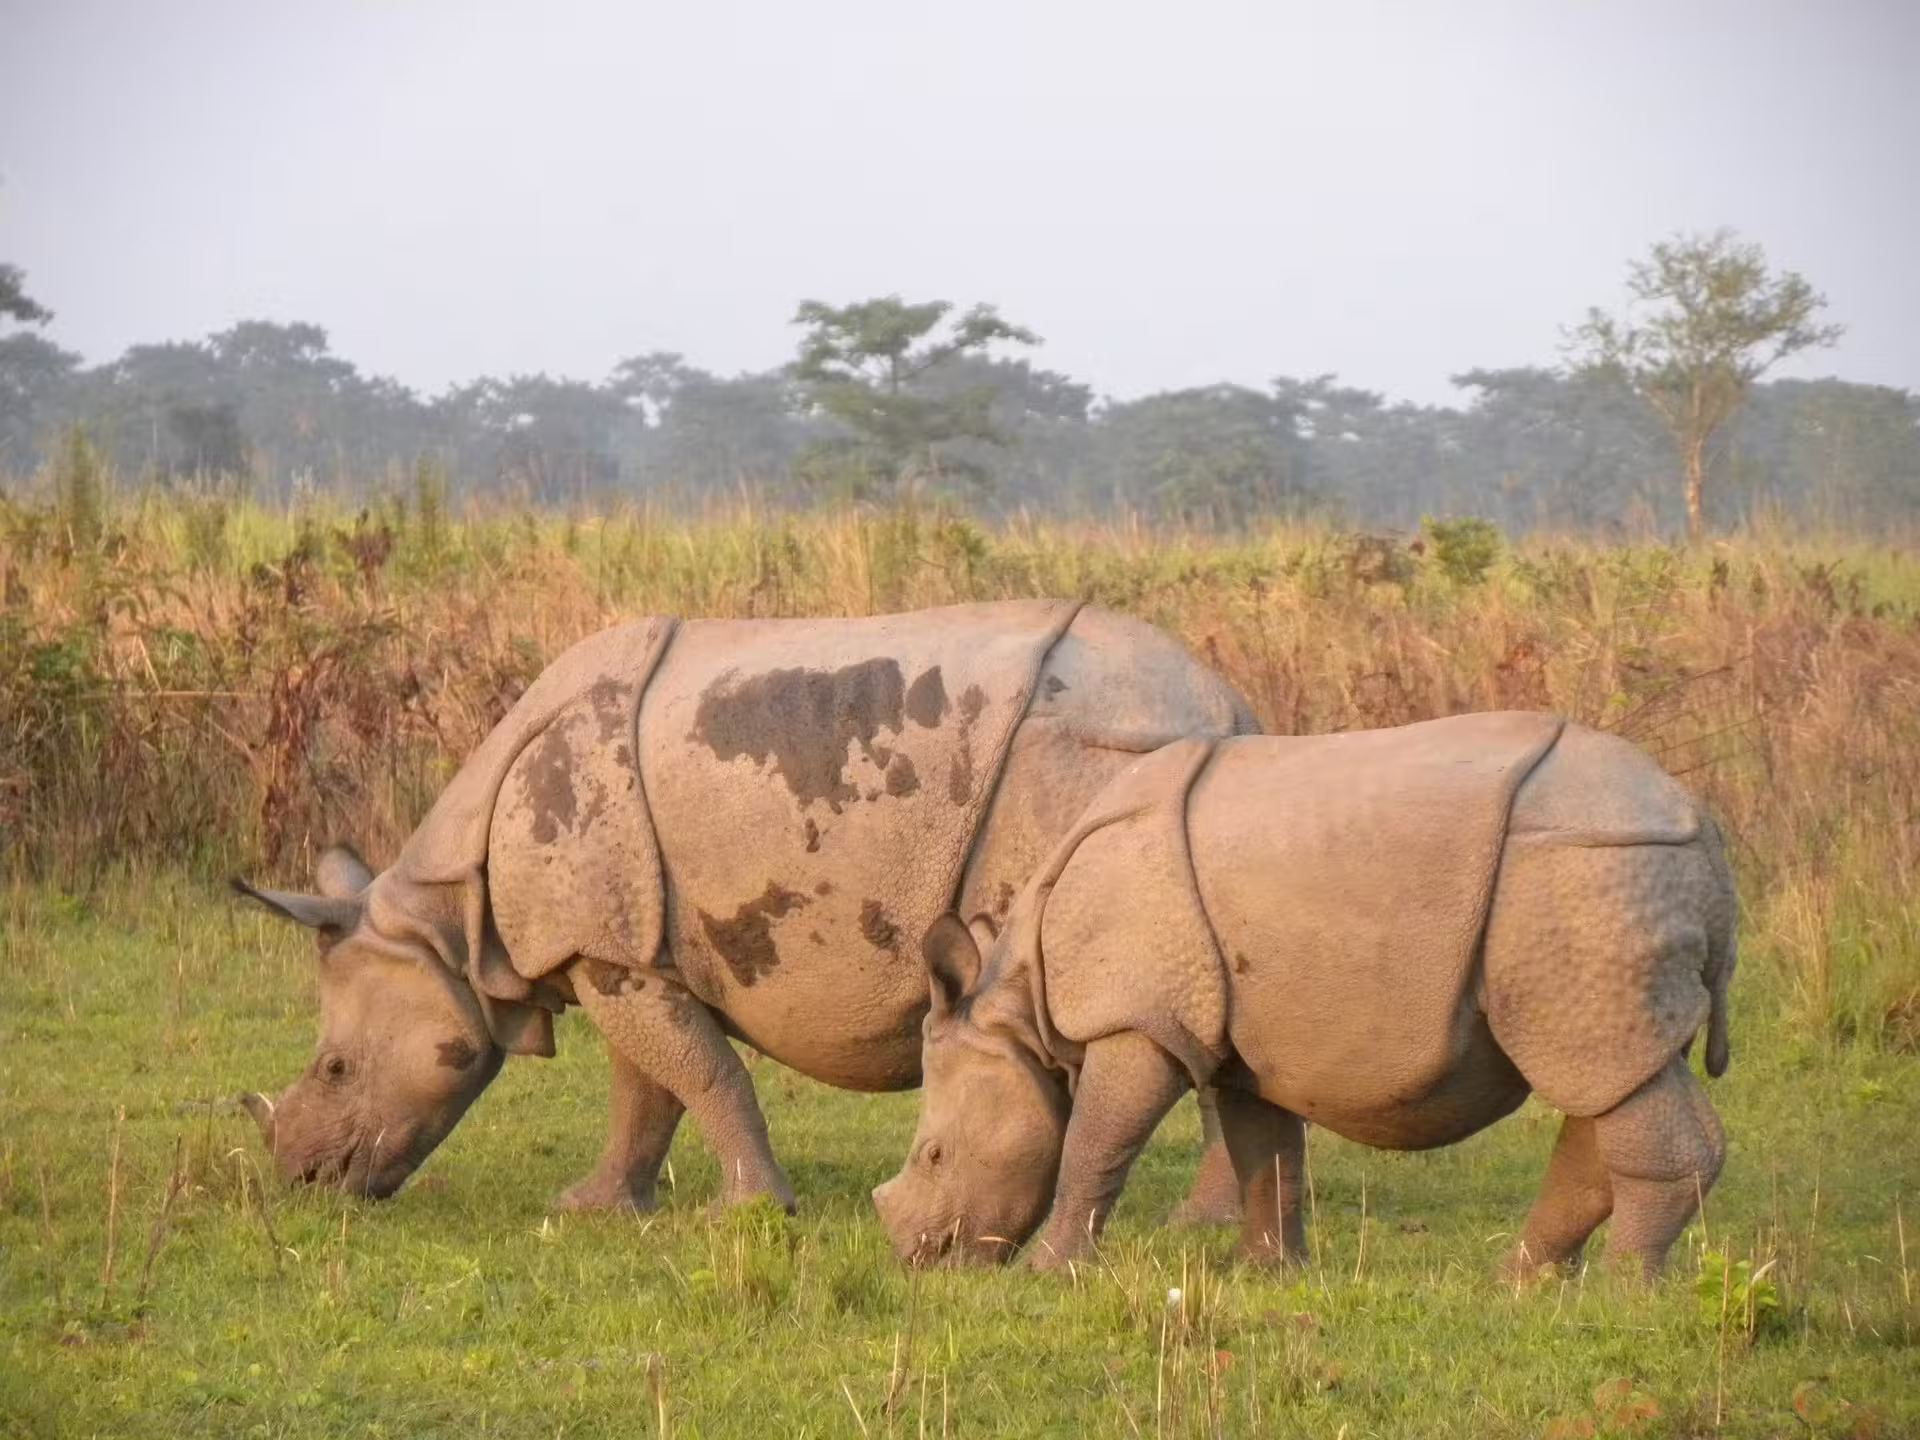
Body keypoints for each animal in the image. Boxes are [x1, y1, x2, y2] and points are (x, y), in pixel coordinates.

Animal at [233, 600, 1259, 1216]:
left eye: (334, 1068)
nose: (303, 1180)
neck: (447, 917)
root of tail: (1228, 709)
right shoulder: (622, 947)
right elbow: (647, 1087)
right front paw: (594, 1209)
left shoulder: (604, 947)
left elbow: (700, 1074)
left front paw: (750, 1211)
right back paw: (1211, 1223)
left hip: (1092, 761)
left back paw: (1194, 1223)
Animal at [873, 713, 1738, 1278]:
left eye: (935, 1154)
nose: (918, 1258)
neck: (1024, 1015)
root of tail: (1703, 827)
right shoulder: (1238, 1041)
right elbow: (1265, 1151)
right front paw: (1265, 1272)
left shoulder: (1139, 1020)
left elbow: (1095, 1143)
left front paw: (1049, 1274)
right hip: (1607, 889)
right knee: (1614, 1077)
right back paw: (1523, 1285)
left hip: (1588, 873)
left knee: (1604, 1075)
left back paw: (1621, 1293)